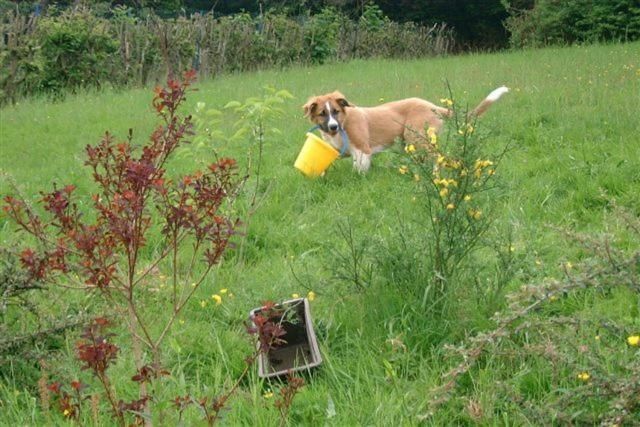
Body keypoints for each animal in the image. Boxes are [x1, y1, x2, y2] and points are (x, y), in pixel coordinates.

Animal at [302, 86, 508, 173]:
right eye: (322, 113)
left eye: (336, 111)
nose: (333, 126)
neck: (343, 123)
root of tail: (433, 106)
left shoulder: (362, 150)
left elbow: (359, 168)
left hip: (416, 137)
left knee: (437, 157)